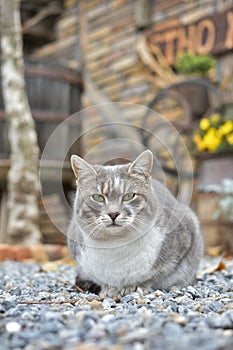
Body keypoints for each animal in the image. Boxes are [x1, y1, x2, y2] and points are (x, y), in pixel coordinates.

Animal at [66, 150, 203, 298]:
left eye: (129, 196)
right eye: (98, 197)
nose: (113, 213)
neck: (116, 245)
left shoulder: (183, 243)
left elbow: (153, 276)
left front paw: (135, 287)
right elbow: (101, 280)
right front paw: (109, 289)